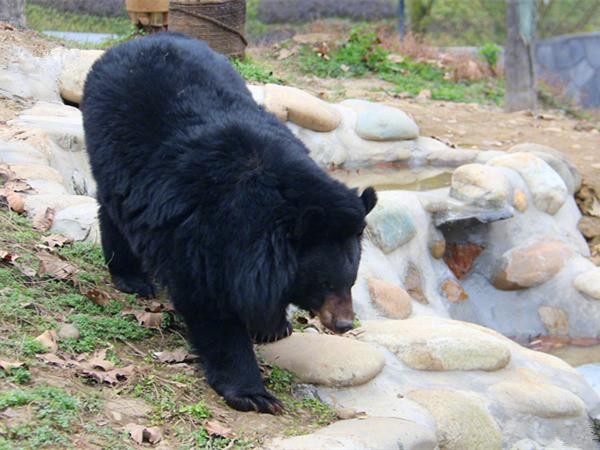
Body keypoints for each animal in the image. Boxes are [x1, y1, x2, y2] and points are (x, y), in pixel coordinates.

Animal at [82, 33, 378, 414]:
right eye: (324, 283)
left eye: (351, 281)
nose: (343, 324)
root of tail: (137, 42)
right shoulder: (199, 234)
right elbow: (210, 306)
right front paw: (254, 393)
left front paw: (273, 327)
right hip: (109, 145)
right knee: (114, 211)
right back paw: (131, 278)